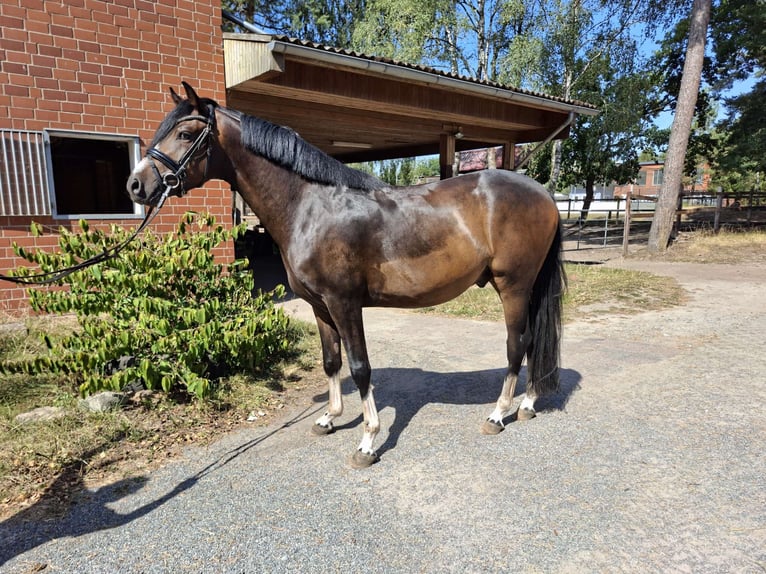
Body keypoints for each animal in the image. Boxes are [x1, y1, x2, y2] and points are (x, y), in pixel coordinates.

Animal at [127, 82, 565, 468]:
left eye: (185, 133)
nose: (136, 185)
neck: (310, 207)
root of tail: (543, 194)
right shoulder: (320, 306)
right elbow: (331, 362)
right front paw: (329, 418)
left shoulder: (345, 303)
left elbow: (360, 367)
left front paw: (368, 441)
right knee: (530, 343)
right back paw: (527, 405)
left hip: (514, 286)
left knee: (517, 343)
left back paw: (499, 414)